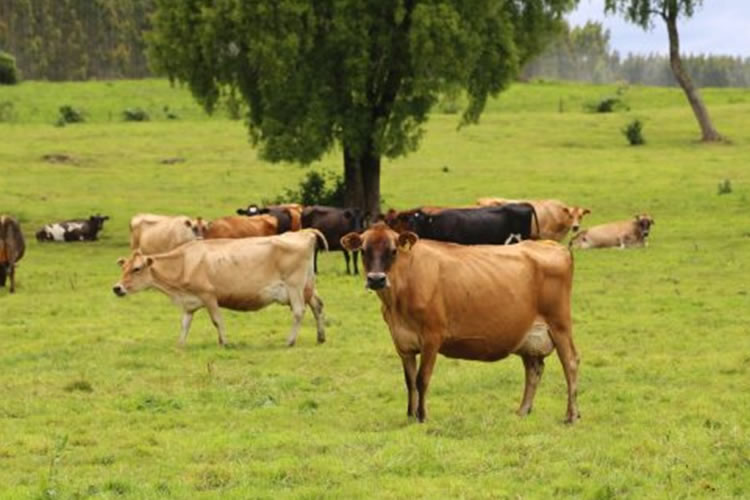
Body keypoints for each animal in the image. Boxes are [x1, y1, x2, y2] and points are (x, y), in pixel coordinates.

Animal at [112, 230, 326, 348]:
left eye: (136, 268)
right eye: (123, 268)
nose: (117, 288)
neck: (185, 262)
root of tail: (304, 233)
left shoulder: (209, 295)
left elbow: (217, 320)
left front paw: (224, 342)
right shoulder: (189, 303)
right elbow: (184, 324)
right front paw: (180, 345)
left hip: (294, 286)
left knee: (298, 311)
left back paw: (290, 341)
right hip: (308, 286)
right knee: (317, 305)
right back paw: (321, 337)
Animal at [340, 225, 580, 424]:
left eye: (393, 251)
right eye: (363, 250)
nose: (376, 279)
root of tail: (552, 244)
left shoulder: (432, 337)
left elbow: (422, 378)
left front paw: (422, 416)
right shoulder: (402, 342)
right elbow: (409, 381)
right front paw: (410, 415)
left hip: (560, 325)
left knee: (570, 362)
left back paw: (571, 415)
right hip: (528, 336)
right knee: (533, 369)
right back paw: (522, 411)